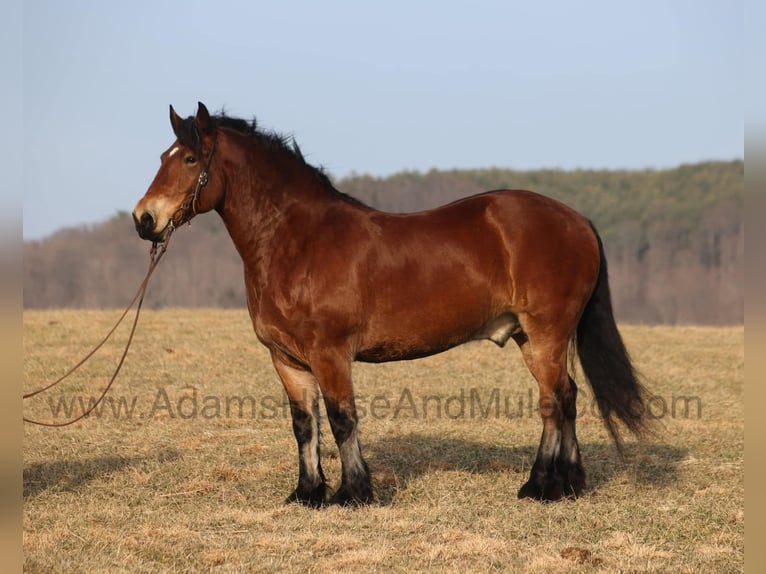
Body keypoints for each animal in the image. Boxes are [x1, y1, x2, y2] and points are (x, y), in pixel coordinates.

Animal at [132, 102, 651, 506]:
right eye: (162, 156)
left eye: (190, 158)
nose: (144, 219)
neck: (297, 240)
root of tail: (577, 220)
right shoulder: (286, 359)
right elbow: (305, 425)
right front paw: (307, 493)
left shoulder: (330, 354)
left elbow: (342, 419)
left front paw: (353, 493)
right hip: (530, 336)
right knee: (567, 396)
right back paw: (568, 485)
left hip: (546, 334)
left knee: (554, 401)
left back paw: (541, 487)